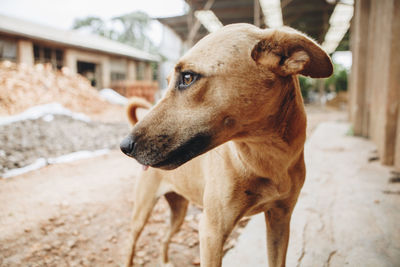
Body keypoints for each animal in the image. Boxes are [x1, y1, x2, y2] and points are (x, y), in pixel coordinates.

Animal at [120, 23, 332, 267]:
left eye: (188, 77)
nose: (124, 146)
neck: (267, 159)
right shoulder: (211, 232)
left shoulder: (280, 220)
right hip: (142, 212)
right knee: (130, 243)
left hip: (179, 210)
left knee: (165, 236)